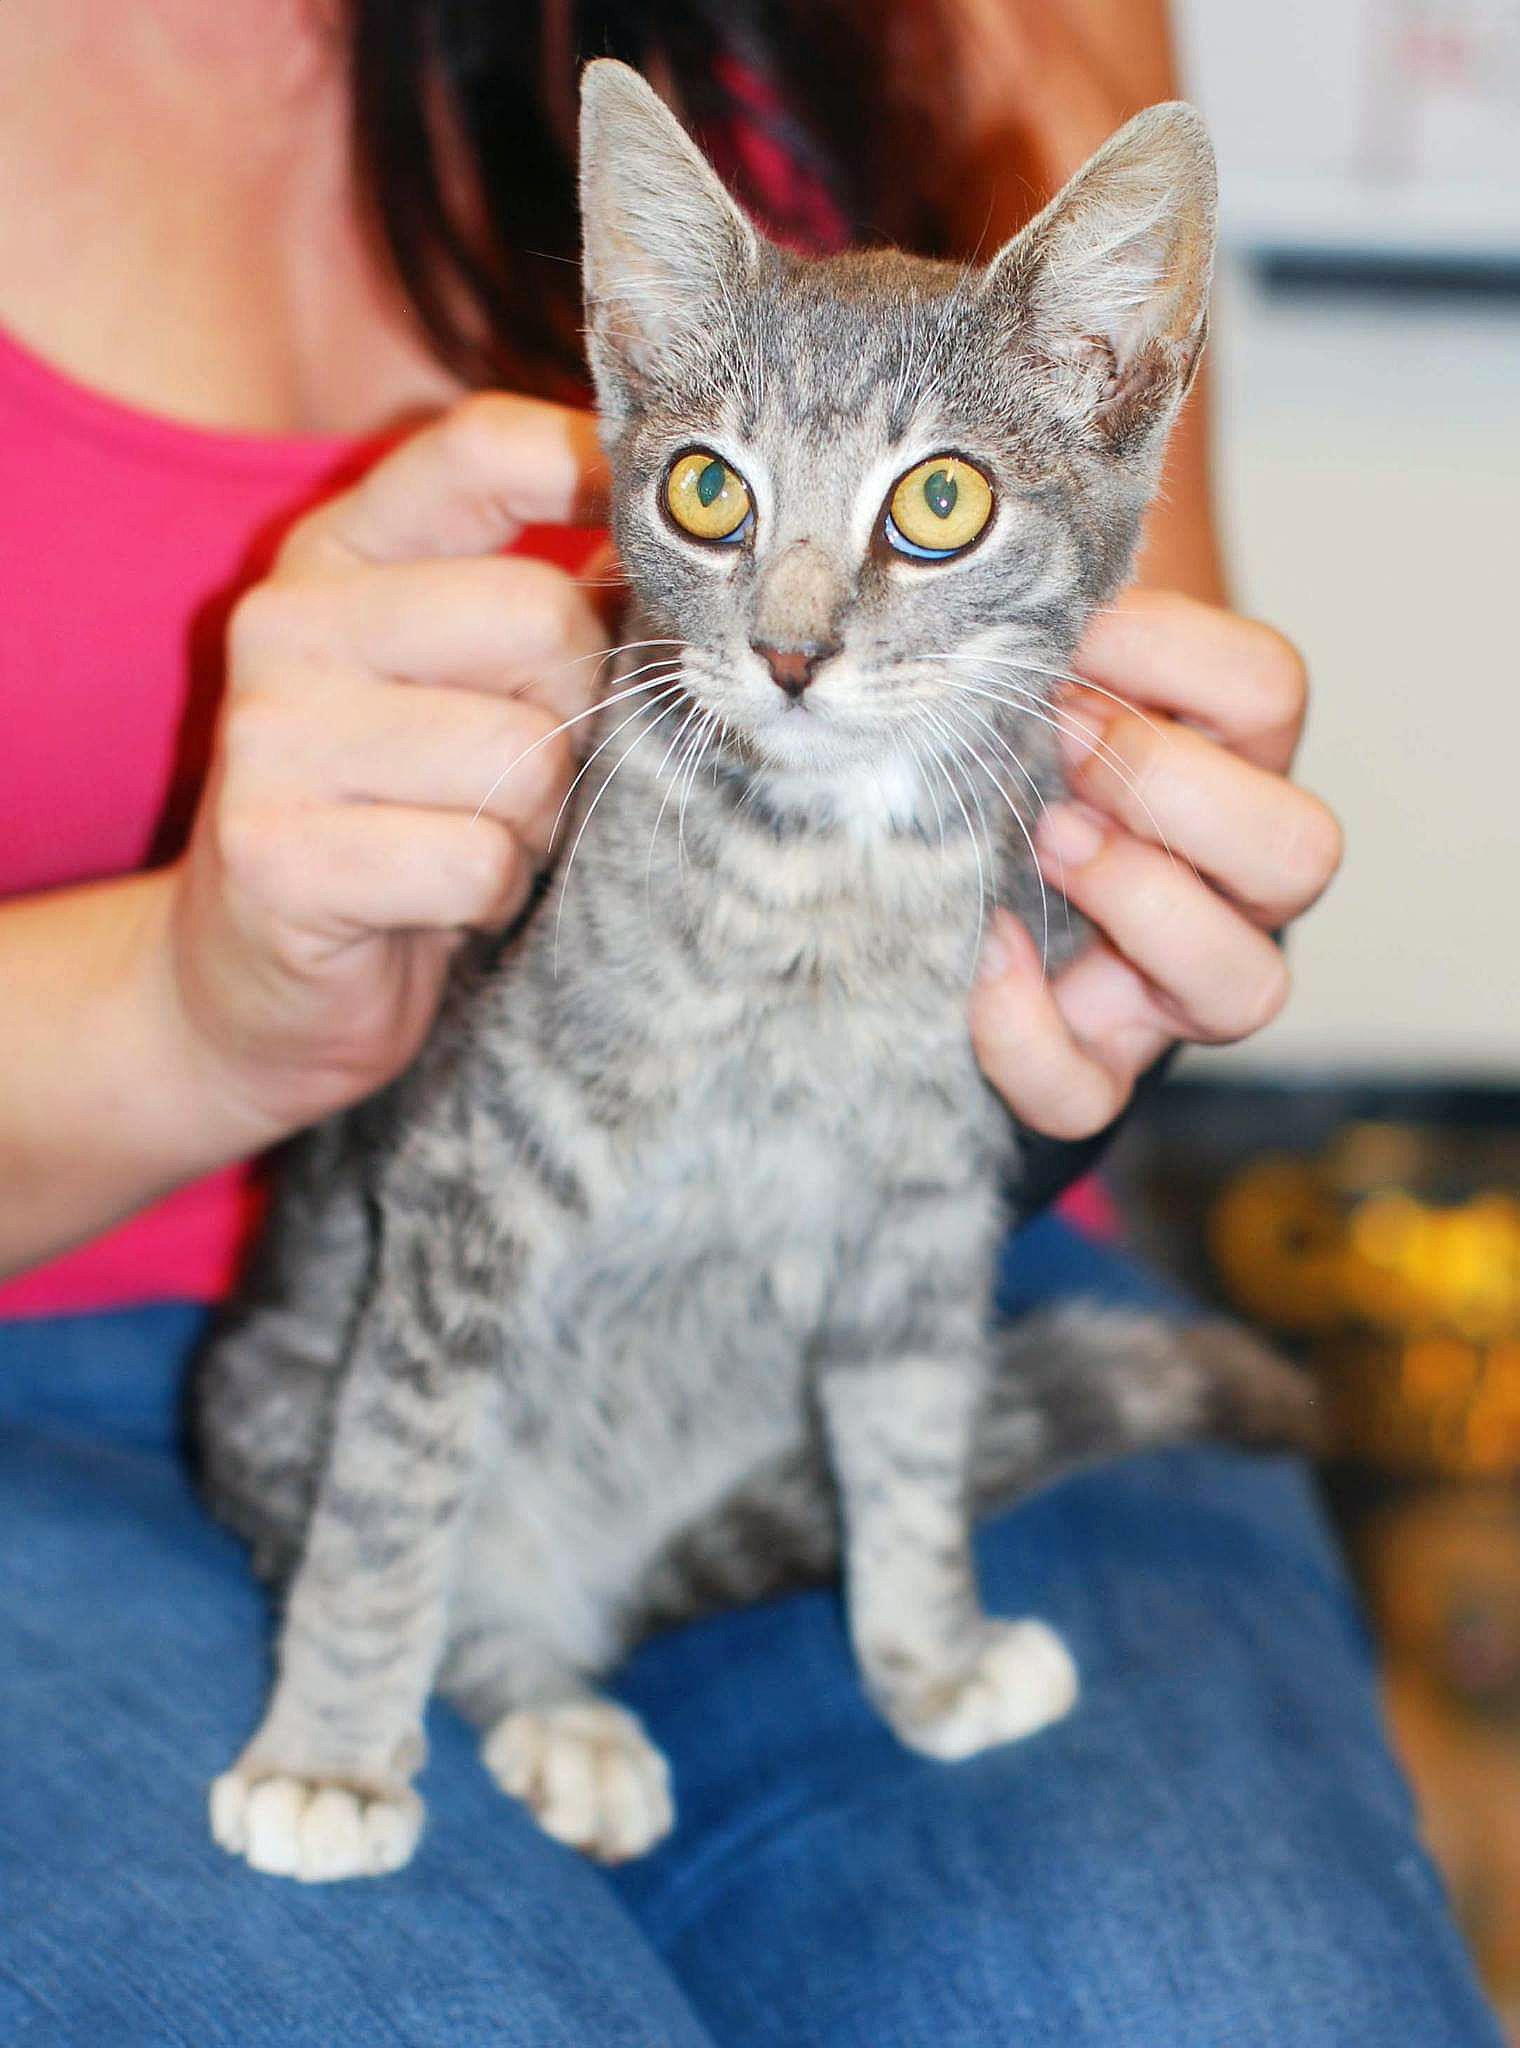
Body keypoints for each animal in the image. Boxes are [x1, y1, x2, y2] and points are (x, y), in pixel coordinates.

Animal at [196, 59, 1319, 1884]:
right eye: (706, 490)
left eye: (941, 502)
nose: (790, 651)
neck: (818, 874)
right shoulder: (465, 1188)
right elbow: (394, 1483)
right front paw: (334, 1759)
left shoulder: (928, 1202)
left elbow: (915, 1436)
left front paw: (929, 1650)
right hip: (270, 1376)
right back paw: (540, 1703)